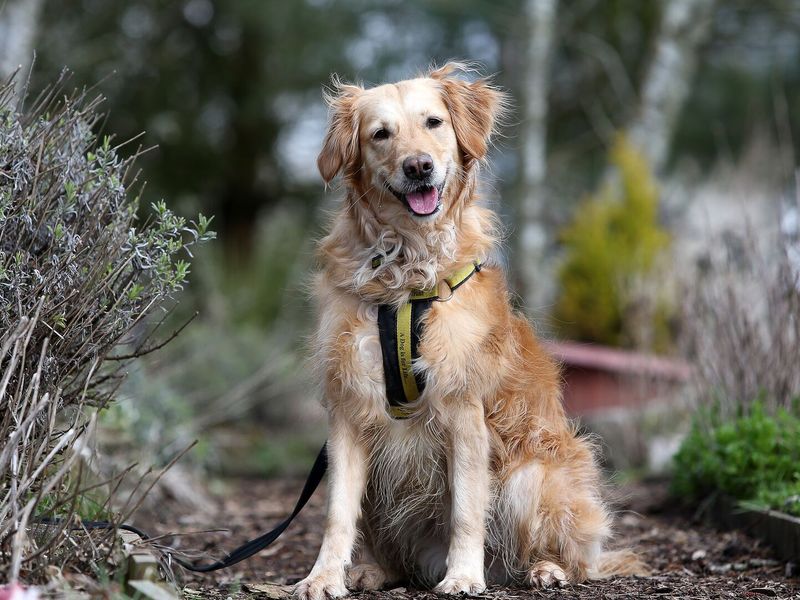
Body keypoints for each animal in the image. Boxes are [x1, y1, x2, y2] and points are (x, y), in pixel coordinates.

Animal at [296, 63, 648, 596]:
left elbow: (466, 509)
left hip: (532, 476)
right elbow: (337, 513)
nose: (418, 166)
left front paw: (463, 575)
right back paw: (375, 570)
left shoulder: (464, 409)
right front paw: (322, 576)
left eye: (434, 122)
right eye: (380, 134)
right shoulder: (349, 410)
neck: (407, 275)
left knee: (573, 558)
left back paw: (544, 569)